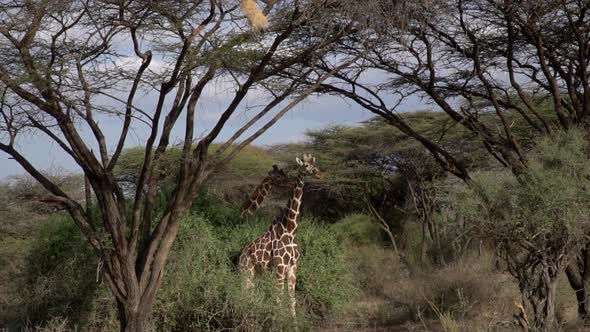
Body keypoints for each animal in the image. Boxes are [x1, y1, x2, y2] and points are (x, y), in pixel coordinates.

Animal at [239, 153, 324, 316]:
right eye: (306, 165)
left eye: (315, 164)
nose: (318, 173)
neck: (290, 230)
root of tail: (240, 255)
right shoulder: (280, 267)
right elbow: (278, 299)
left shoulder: (293, 266)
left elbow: (292, 299)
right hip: (246, 270)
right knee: (245, 291)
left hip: (257, 272)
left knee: (251, 292)